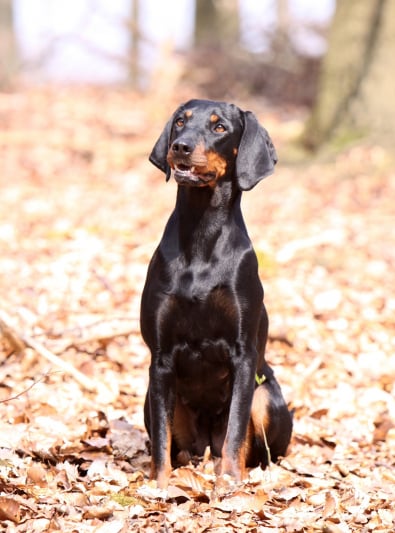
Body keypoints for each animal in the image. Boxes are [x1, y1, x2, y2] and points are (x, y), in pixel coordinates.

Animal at [141, 97, 292, 488]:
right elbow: (161, 441)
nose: (180, 147)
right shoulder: (160, 360)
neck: (201, 232)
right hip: (152, 398)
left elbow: (236, 430)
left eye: (219, 127)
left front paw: (230, 484)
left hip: (264, 395)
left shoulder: (243, 355)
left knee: (253, 449)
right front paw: (160, 487)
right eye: (180, 122)